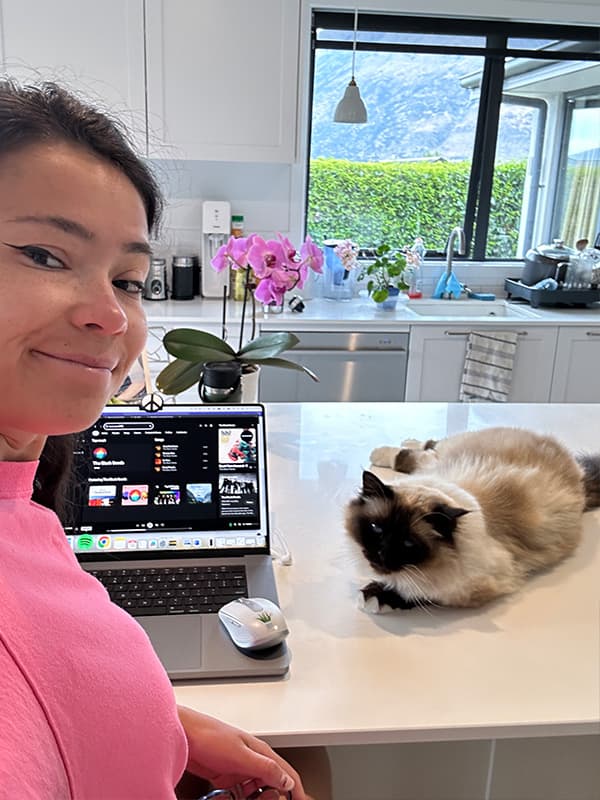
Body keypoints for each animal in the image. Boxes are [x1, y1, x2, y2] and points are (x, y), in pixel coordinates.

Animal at [344, 424, 600, 612]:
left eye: (408, 543)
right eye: (376, 528)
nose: (381, 554)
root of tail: (578, 471)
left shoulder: (476, 583)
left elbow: (424, 593)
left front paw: (374, 598)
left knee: (419, 451)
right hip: (438, 459)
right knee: (424, 448)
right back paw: (396, 445)